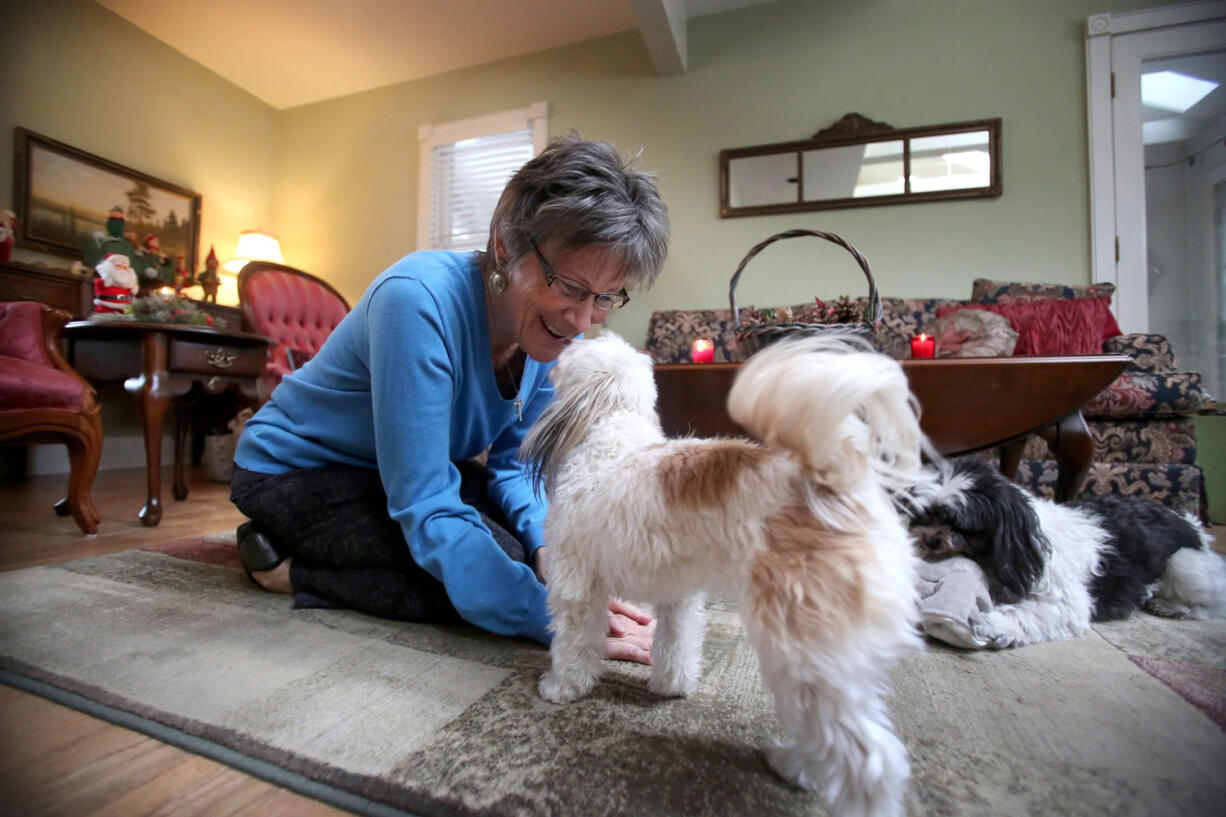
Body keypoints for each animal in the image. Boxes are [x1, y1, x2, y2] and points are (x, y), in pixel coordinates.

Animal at [517, 328, 926, 814]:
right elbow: (675, 644)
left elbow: (573, 646)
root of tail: (834, 487)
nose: (558, 350)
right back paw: (795, 764)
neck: (611, 435)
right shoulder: (678, 594)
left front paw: (561, 687)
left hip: (802, 648)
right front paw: (670, 685)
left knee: (866, 756)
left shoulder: (576, 588)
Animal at [912, 458, 1226, 642]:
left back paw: (1173, 607)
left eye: (961, 525)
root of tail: (1191, 524)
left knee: (1213, 605)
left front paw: (993, 623)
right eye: (924, 515)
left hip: (1183, 564)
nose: (931, 539)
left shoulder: (1066, 601)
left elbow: (1029, 613)